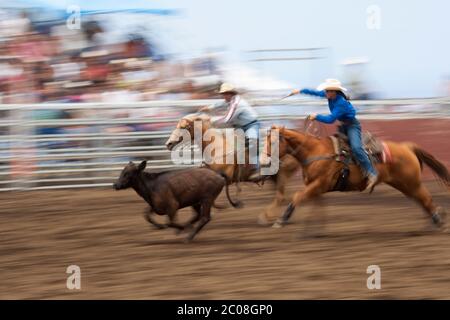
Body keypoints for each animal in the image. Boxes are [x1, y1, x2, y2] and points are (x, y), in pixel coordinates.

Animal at [163, 114, 300, 219]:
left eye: (183, 127)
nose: (168, 144)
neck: (217, 147)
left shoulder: (225, 177)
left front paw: (229, 204)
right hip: (275, 177)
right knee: (279, 194)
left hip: (283, 173)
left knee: (281, 194)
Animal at [260, 125, 450, 228]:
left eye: (274, 142)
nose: (263, 161)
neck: (315, 151)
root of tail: (407, 147)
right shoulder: (315, 187)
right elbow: (317, 206)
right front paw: (316, 229)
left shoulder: (319, 184)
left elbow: (297, 197)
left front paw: (281, 220)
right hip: (405, 185)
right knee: (421, 200)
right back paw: (436, 219)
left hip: (411, 182)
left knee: (425, 198)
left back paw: (438, 220)